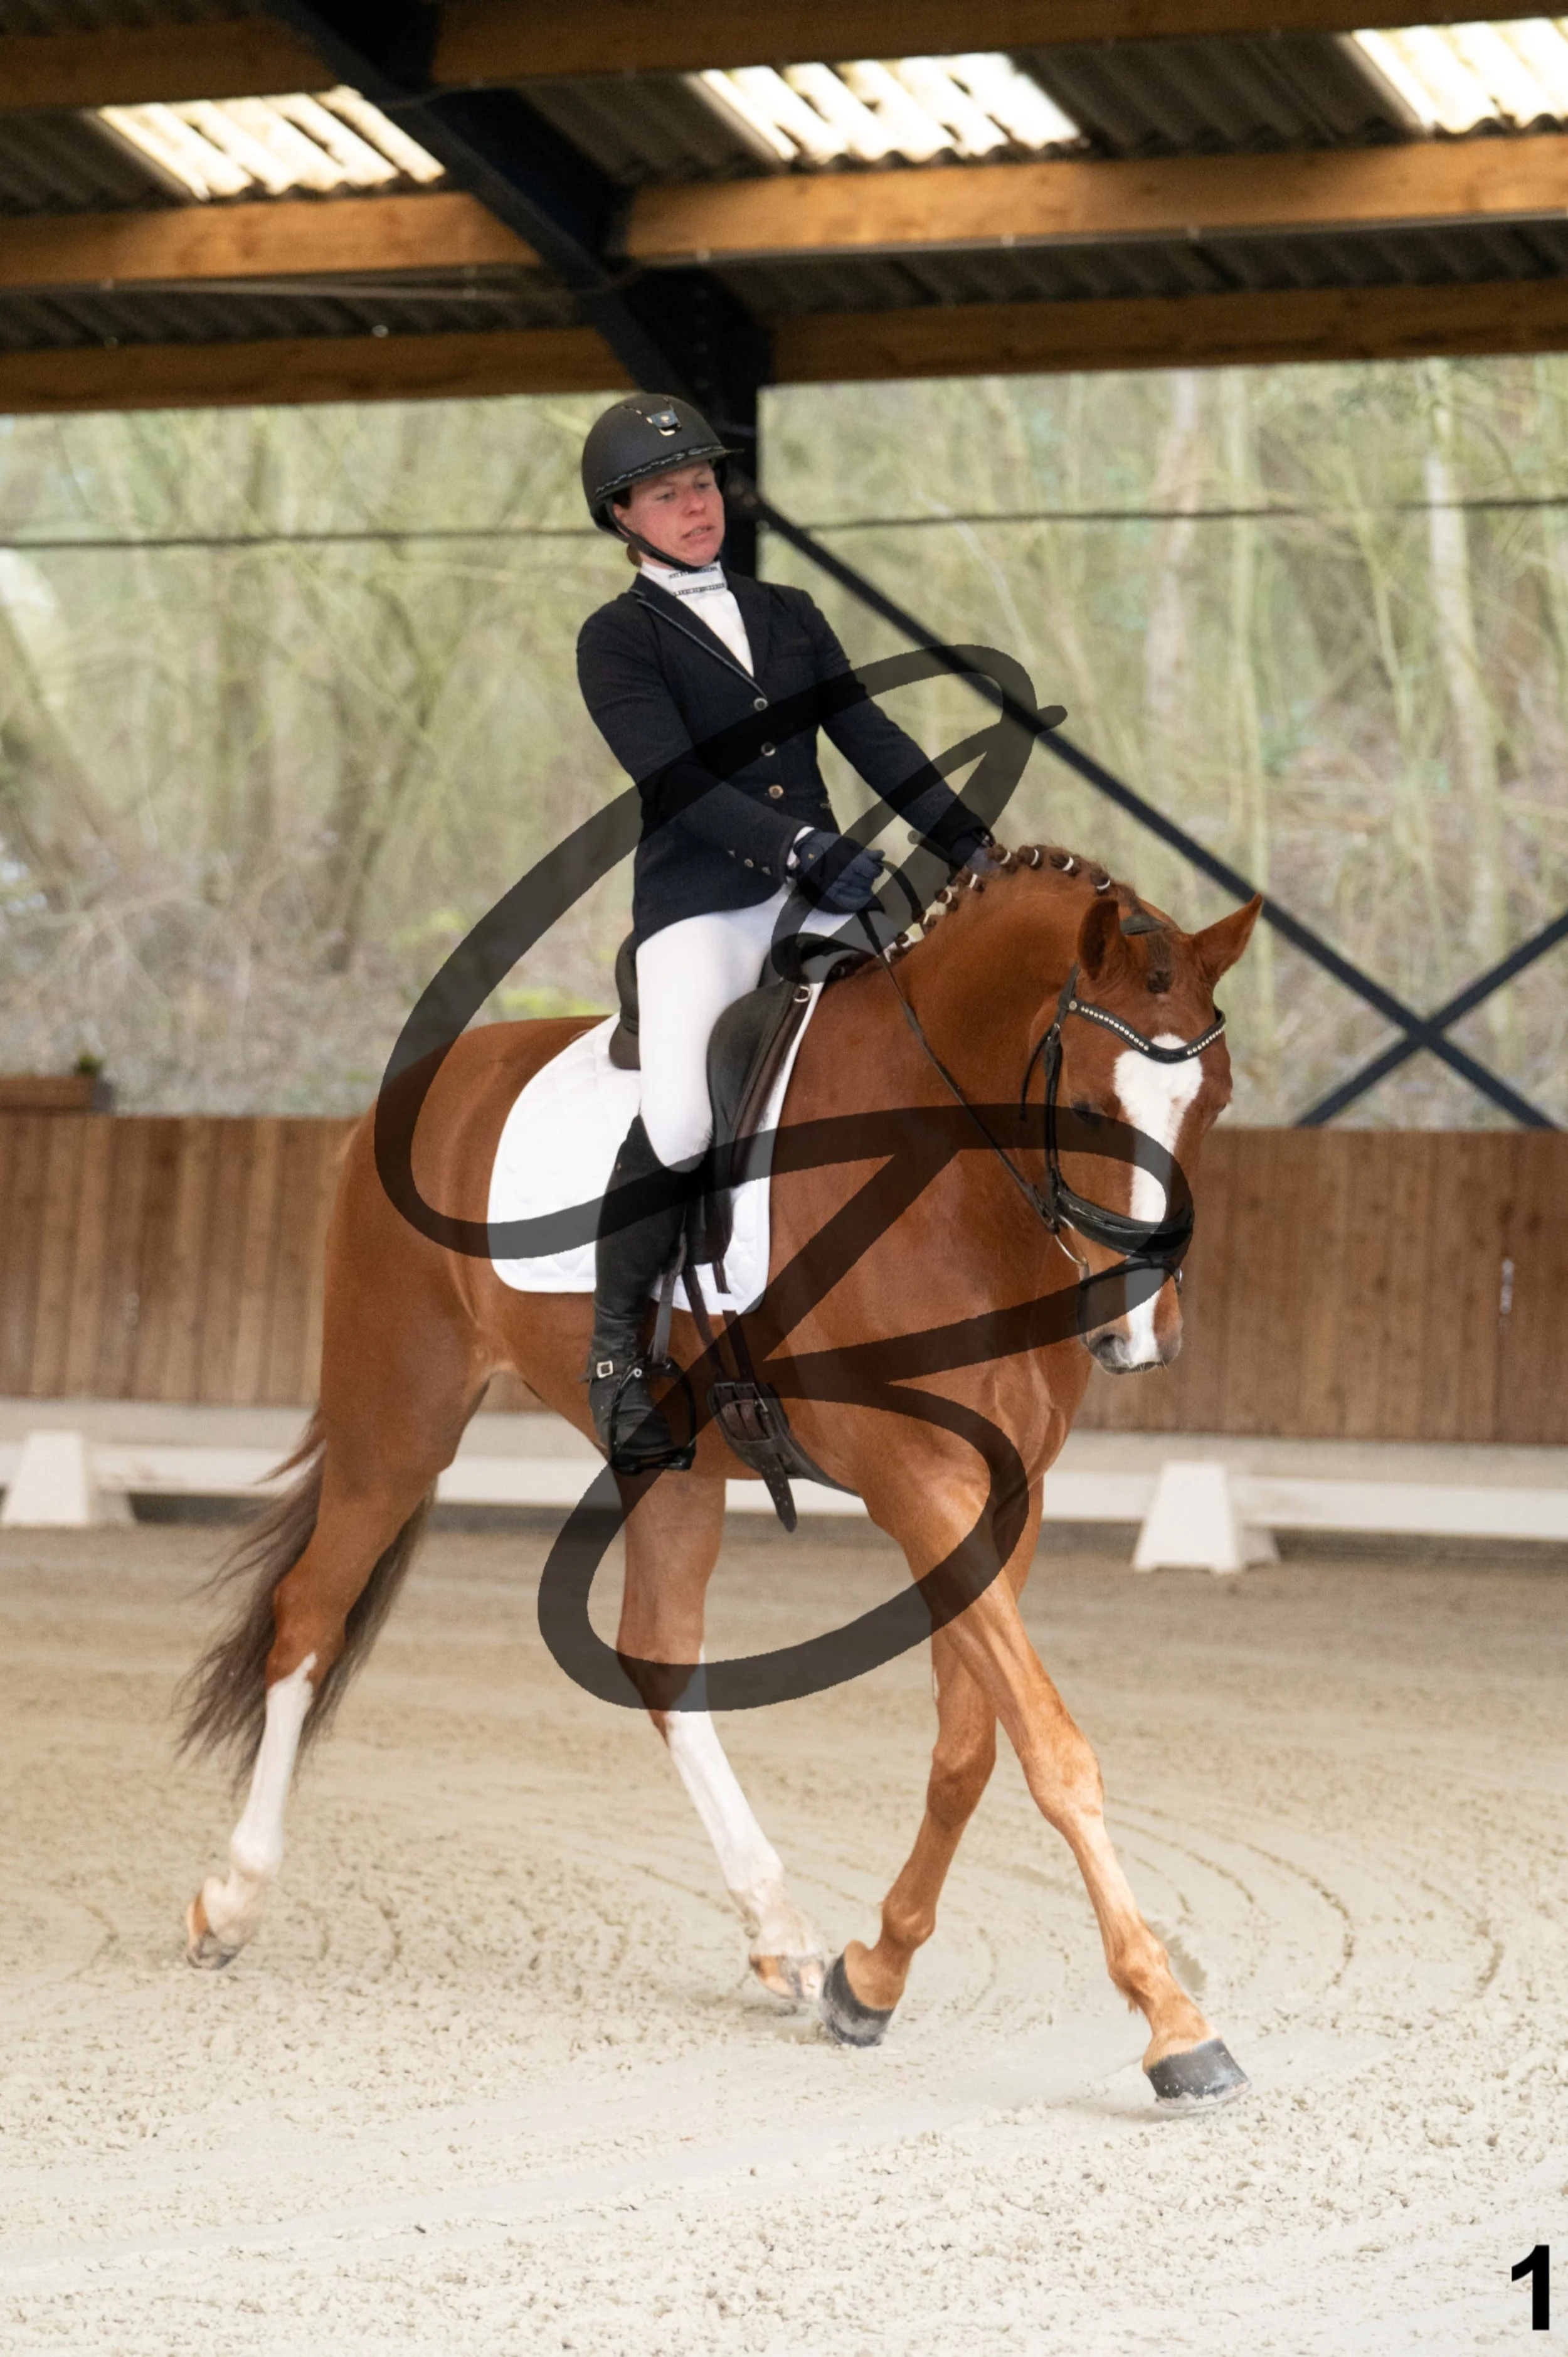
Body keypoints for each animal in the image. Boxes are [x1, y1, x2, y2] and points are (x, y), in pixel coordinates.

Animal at [180, 841, 1260, 2106]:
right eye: (1091, 1107)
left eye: (1215, 1102)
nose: (1144, 1334)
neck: (947, 1173)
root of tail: (407, 1095)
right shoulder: (917, 1479)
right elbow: (1052, 1747)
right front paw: (1176, 2023)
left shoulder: (1009, 1489)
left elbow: (971, 1744)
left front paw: (871, 1976)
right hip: (397, 1419)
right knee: (309, 1616)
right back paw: (232, 1897)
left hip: (672, 1463)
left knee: (657, 1651)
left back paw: (780, 1932)